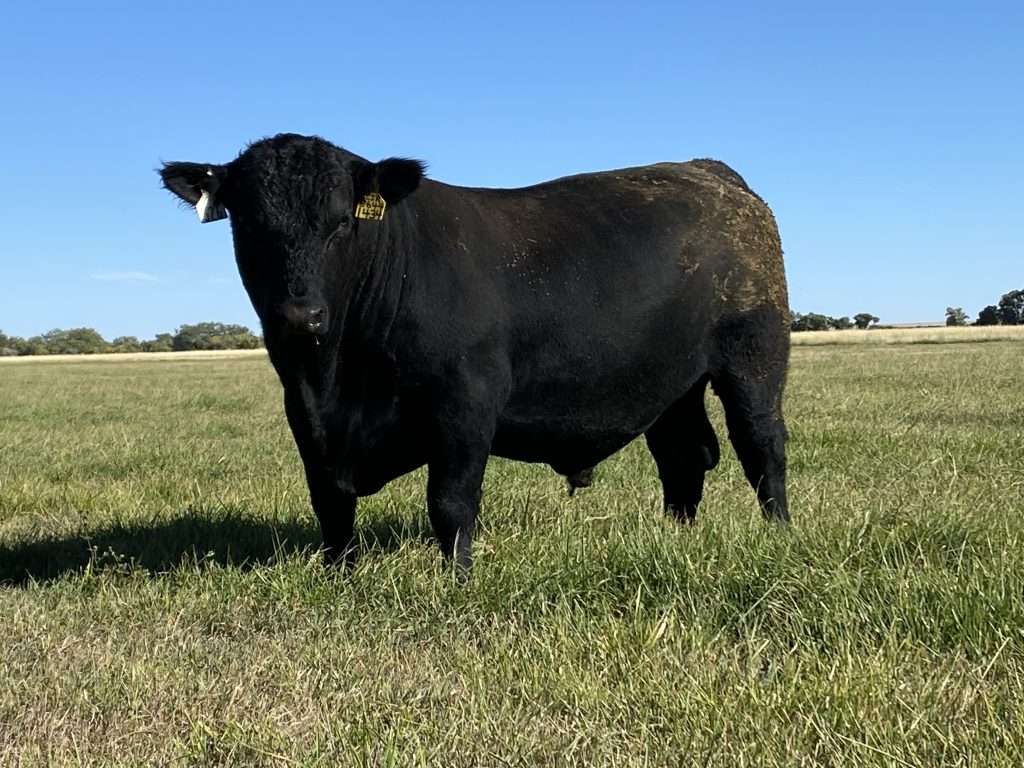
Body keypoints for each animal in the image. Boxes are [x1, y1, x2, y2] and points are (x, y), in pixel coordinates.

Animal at [160, 133, 790, 572]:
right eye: (249, 224)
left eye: (341, 222)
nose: (299, 317)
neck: (338, 377)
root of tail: (708, 171)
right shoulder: (305, 416)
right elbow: (330, 504)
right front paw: (339, 573)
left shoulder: (465, 405)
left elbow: (450, 502)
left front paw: (457, 578)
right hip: (670, 383)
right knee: (684, 455)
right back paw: (676, 537)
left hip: (754, 354)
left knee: (761, 445)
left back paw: (777, 533)